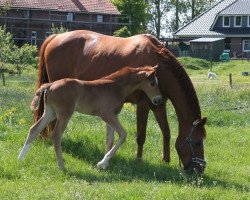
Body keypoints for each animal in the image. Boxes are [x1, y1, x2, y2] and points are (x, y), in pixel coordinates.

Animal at [18, 66, 162, 170]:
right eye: (152, 83)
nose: (158, 100)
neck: (115, 87)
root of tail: (49, 85)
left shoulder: (111, 116)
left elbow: (110, 139)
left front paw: (105, 165)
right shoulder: (107, 115)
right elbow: (123, 135)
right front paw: (102, 163)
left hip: (50, 112)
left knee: (34, 129)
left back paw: (20, 158)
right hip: (64, 114)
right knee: (56, 135)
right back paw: (61, 165)